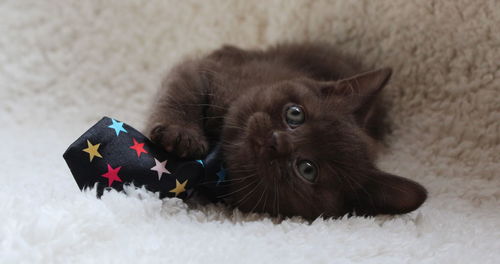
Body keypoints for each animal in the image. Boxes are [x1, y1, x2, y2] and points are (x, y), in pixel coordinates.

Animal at [146, 43, 428, 221]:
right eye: (295, 114)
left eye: (308, 169)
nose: (276, 141)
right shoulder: (211, 69)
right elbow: (183, 93)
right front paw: (182, 134)